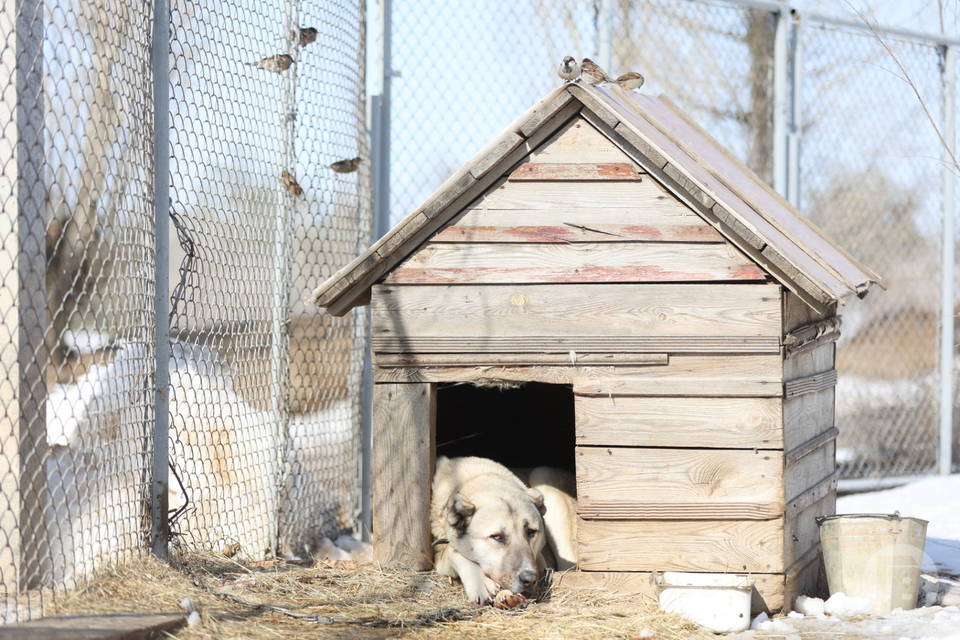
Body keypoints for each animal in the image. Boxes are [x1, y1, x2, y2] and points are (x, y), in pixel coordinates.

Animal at [430, 456, 576, 604]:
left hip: (543, 475)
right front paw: (481, 582)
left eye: (531, 532)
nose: (530, 579)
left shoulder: (540, 561)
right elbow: (452, 551)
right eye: (497, 537)